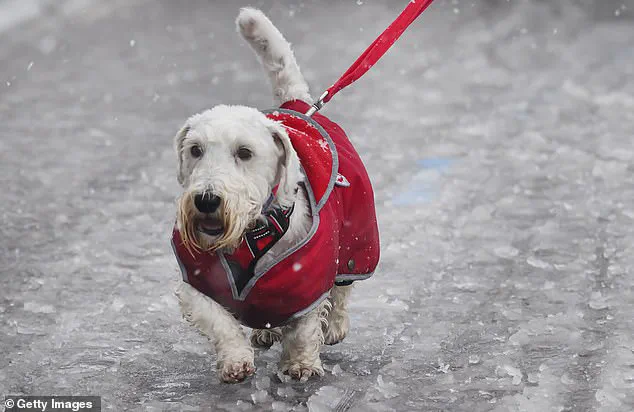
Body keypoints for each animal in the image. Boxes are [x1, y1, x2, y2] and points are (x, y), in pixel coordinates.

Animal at [170, 7, 378, 384]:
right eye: (195, 150)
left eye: (245, 152)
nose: (207, 200)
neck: (250, 235)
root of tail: (296, 103)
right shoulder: (196, 281)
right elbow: (219, 321)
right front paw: (236, 360)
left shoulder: (308, 275)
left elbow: (305, 325)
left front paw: (300, 364)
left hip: (358, 236)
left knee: (343, 285)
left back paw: (335, 325)